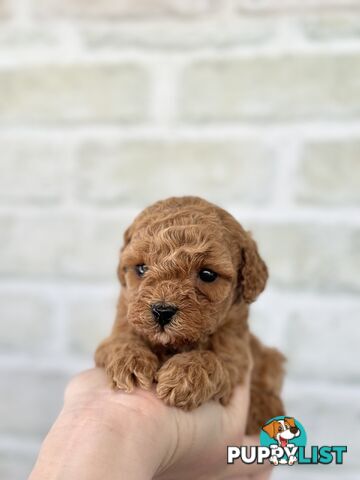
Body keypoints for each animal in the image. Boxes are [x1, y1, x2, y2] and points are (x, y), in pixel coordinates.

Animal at [95, 196, 284, 436]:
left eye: (207, 274)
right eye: (141, 268)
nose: (162, 311)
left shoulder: (236, 352)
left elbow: (211, 358)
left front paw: (183, 376)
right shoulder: (121, 322)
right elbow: (121, 340)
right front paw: (129, 362)